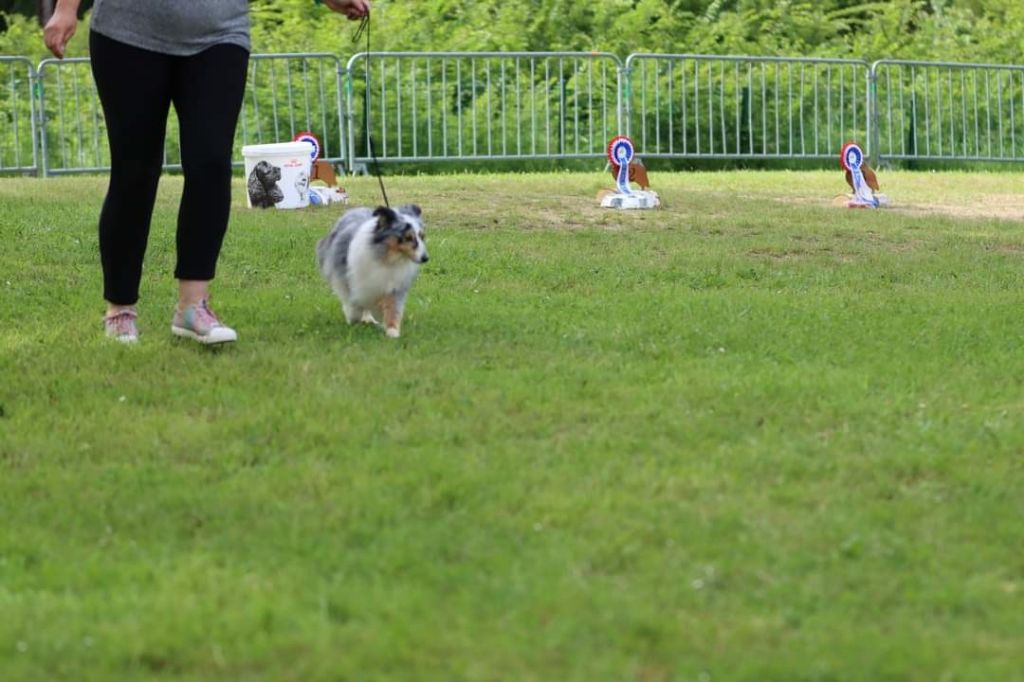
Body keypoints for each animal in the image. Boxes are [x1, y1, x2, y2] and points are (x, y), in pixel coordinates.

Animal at [315, 202, 428, 337]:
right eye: (408, 237)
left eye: (422, 236)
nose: (425, 258)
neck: (387, 258)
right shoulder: (349, 278)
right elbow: (353, 302)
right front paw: (353, 318)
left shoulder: (395, 286)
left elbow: (393, 308)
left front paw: (392, 331)